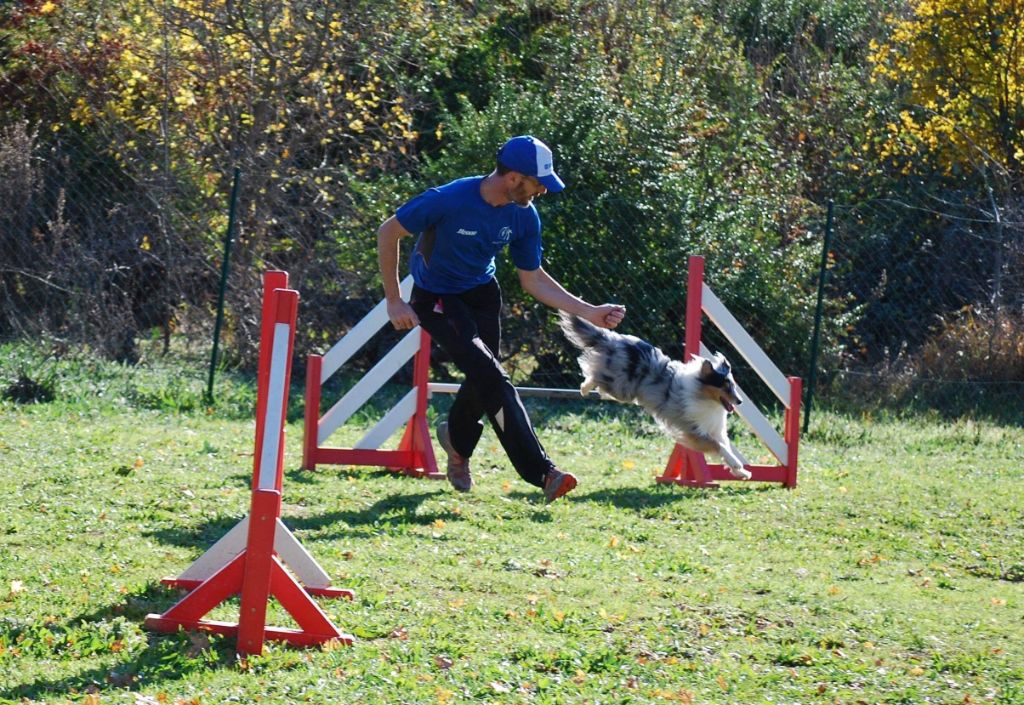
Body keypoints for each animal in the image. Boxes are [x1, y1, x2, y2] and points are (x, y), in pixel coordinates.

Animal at [561, 313, 753, 479]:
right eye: (725, 387)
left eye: (733, 386)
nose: (740, 401)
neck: (704, 396)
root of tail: (612, 339)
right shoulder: (694, 430)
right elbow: (718, 446)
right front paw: (736, 465)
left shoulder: (715, 429)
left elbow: (725, 447)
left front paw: (742, 472)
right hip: (622, 385)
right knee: (595, 375)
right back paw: (584, 388)